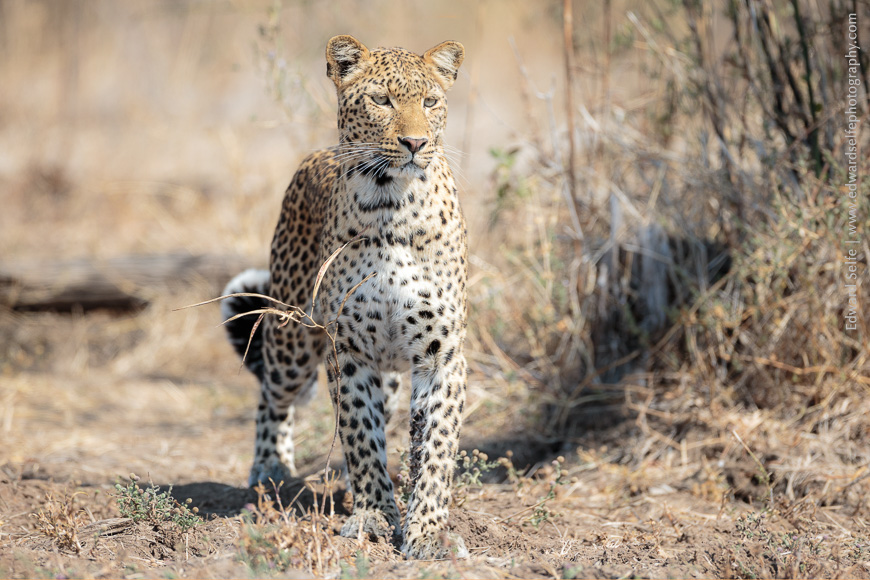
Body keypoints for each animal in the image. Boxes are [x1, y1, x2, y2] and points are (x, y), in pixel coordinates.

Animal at [220, 35, 469, 560]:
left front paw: (427, 531)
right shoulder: (348, 350)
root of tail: (316, 154)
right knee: (272, 394)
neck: (394, 203)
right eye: (382, 100)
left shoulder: (441, 353)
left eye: (430, 102)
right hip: (292, 341)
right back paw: (271, 470)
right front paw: (374, 515)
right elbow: (360, 436)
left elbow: (435, 448)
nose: (416, 144)